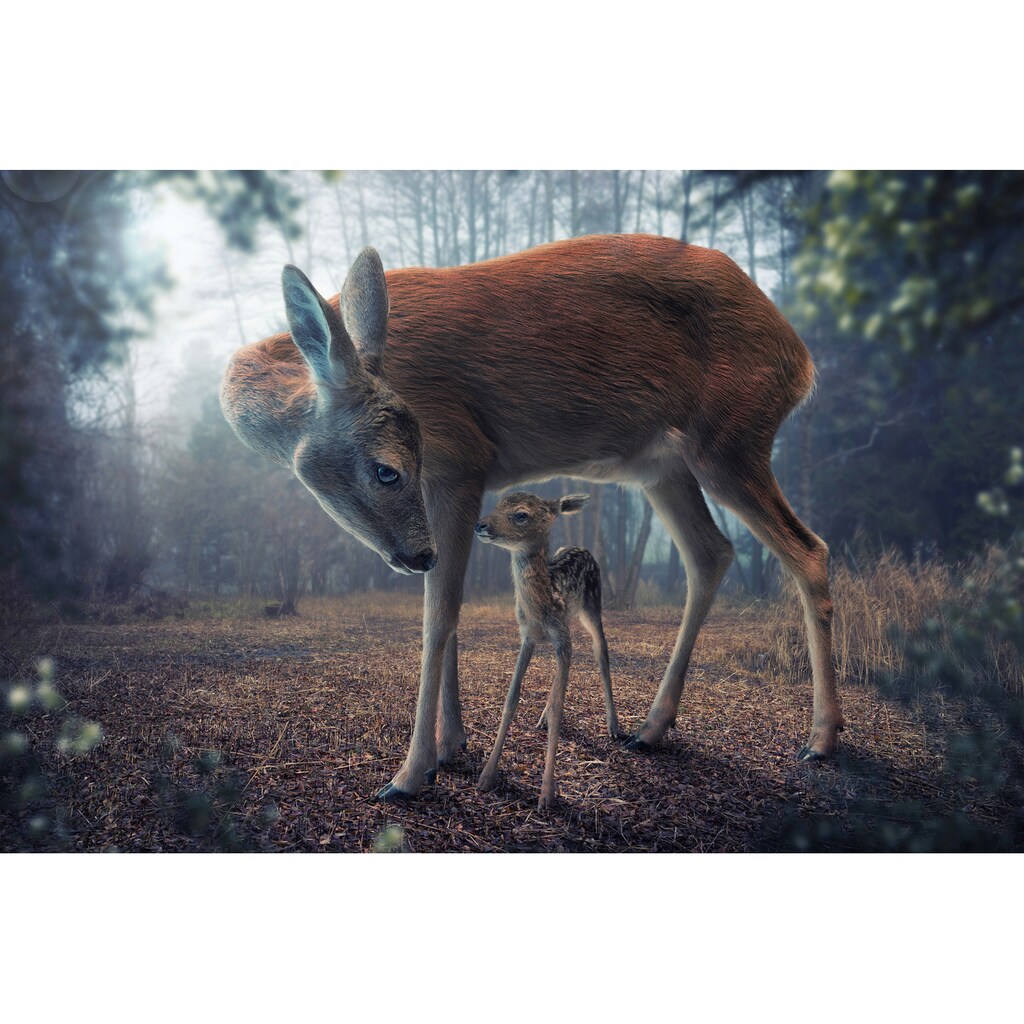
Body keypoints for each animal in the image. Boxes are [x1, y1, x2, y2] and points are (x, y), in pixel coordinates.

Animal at [224, 235, 847, 802]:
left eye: (389, 470)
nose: (416, 554)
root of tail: (801, 359)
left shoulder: (461, 457)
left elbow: (439, 616)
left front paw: (410, 772)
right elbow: (449, 609)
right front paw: (452, 747)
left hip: (730, 439)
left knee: (808, 550)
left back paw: (820, 740)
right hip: (661, 466)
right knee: (711, 552)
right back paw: (649, 729)